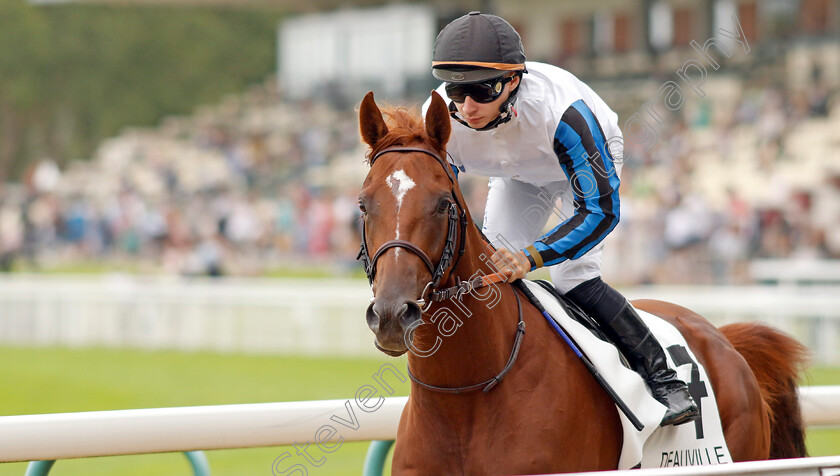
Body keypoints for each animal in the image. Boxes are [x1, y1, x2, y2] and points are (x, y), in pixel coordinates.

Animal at [358, 91, 812, 474]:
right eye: (363, 204)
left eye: (442, 203)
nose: (393, 315)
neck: (463, 397)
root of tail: (724, 338)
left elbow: (598, 211)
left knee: (581, 275)